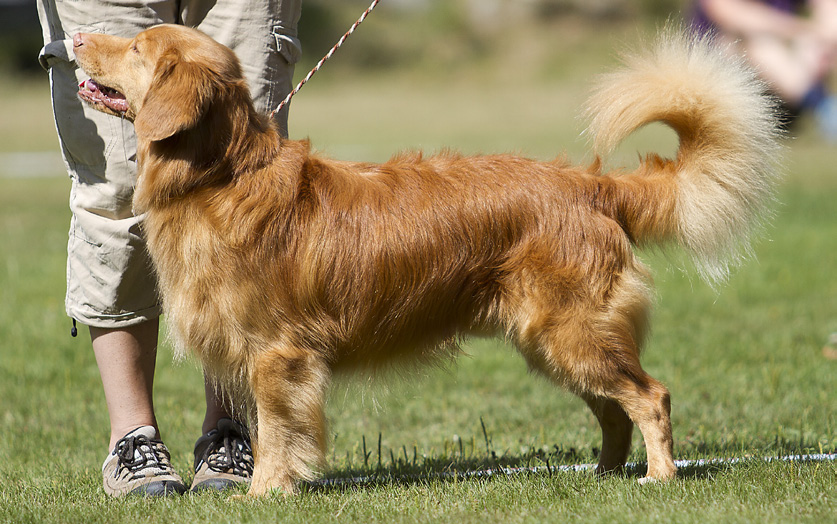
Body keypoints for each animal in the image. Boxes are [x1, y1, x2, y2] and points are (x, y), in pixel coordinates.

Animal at [72, 24, 776, 498]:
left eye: (136, 49)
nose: (75, 37)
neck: (219, 175)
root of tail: (590, 185)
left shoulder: (279, 356)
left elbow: (277, 432)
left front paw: (267, 493)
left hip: (573, 331)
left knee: (650, 397)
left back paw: (658, 478)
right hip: (556, 340)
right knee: (613, 408)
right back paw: (603, 475)